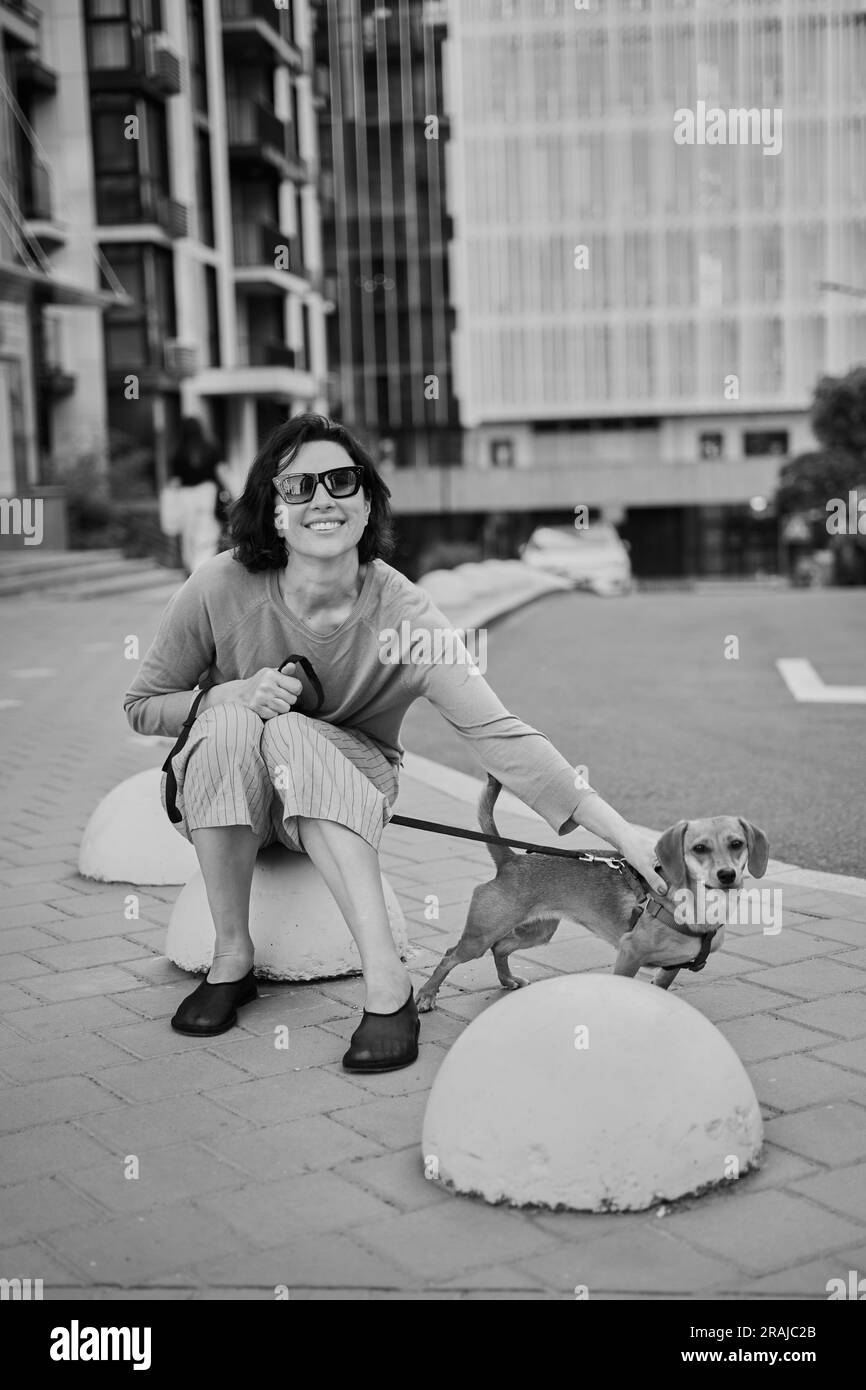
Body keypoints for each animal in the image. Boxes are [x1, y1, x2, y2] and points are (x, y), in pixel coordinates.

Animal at [417, 772, 767, 1011]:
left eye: (737, 844)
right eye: (699, 848)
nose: (727, 875)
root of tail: (511, 860)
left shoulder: (670, 968)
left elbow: (662, 985)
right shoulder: (629, 953)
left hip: (538, 931)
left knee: (500, 948)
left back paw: (507, 980)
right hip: (480, 936)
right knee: (450, 956)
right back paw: (426, 995)